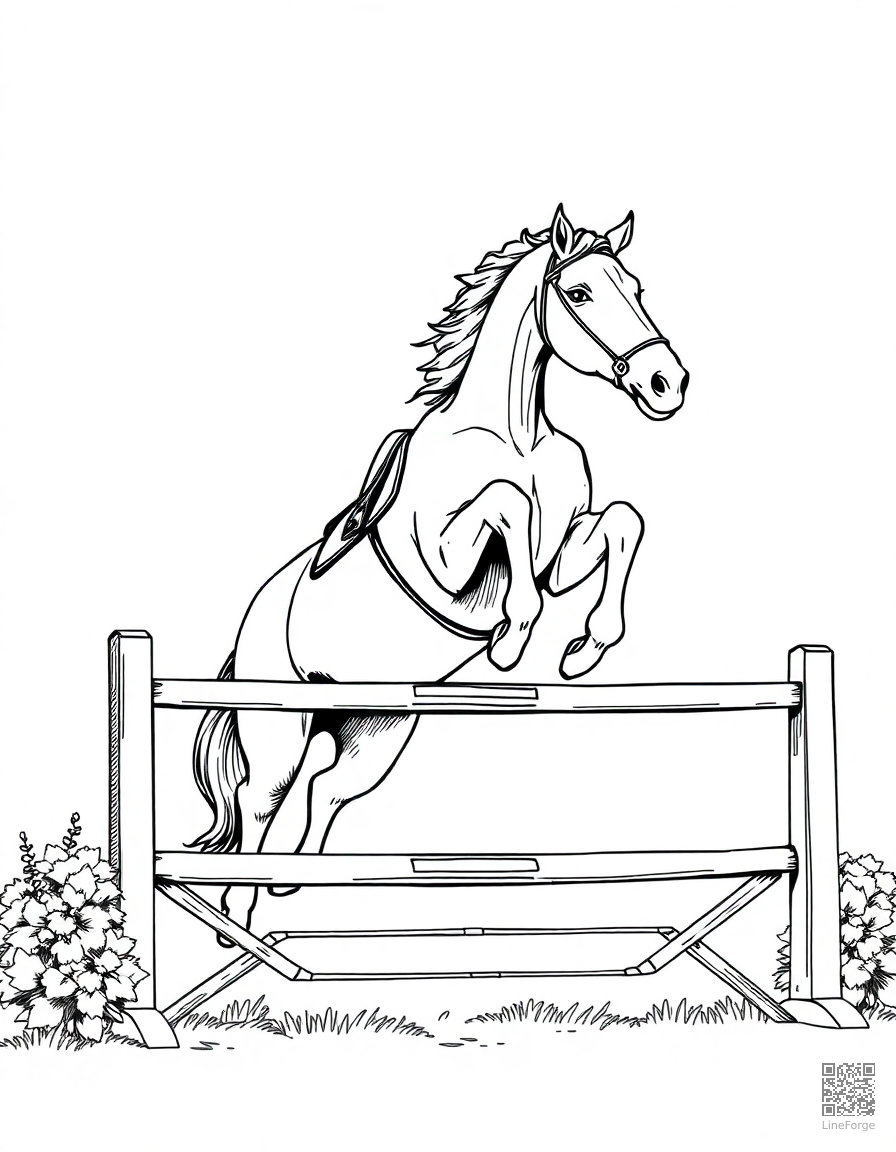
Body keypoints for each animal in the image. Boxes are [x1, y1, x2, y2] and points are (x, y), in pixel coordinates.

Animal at [190, 204, 689, 936]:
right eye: (579, 292)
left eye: (637, 289)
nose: (668, 383)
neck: (516, 435)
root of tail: (245, 635)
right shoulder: (448, 564)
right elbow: (506, 506)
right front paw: (513, 642)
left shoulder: (562, 553)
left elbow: (623, 521)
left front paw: (584, 651)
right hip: (281, 724)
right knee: (261, 800)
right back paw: (242, 910)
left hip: (375, 729)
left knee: (326, 787)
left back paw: (290, 883)